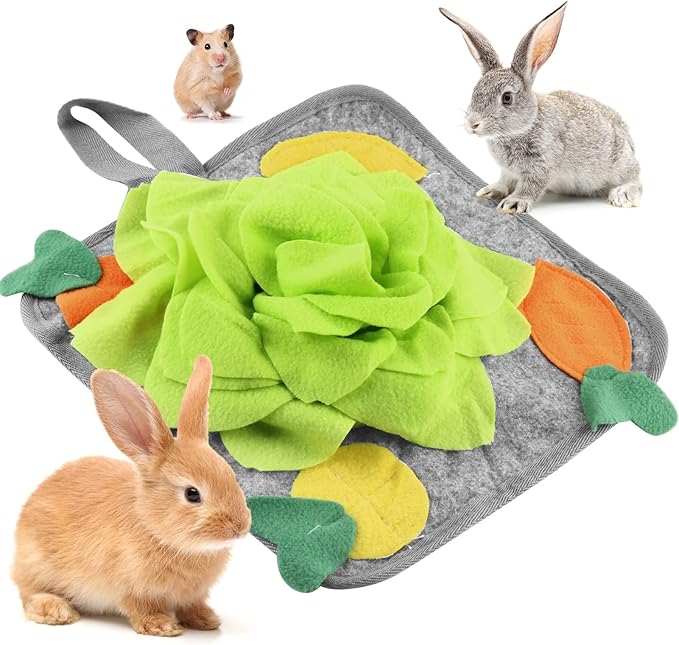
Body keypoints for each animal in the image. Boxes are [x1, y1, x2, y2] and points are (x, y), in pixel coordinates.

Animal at [12, 355, 251, 637]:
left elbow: (191, 606)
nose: (240, 527)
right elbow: (140, 608)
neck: (155, 528)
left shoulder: (193, 595)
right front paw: (162, 626)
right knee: (29, 595)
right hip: (37, 566)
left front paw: (206, 620)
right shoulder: (131, 588)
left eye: (232, 477)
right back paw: (56, 610)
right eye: (192, 494)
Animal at [439, 3, 642, 213]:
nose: (472, 124)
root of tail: (629, 140)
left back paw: (622, 195)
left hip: (619, 163)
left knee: (636, 178)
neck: (526, 126)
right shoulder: (508, 171)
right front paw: (490, 191)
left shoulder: (541, 163)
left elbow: (531, 186)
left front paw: (513, 203)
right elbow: (504, 181)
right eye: (475, 91)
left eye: (507, 98)